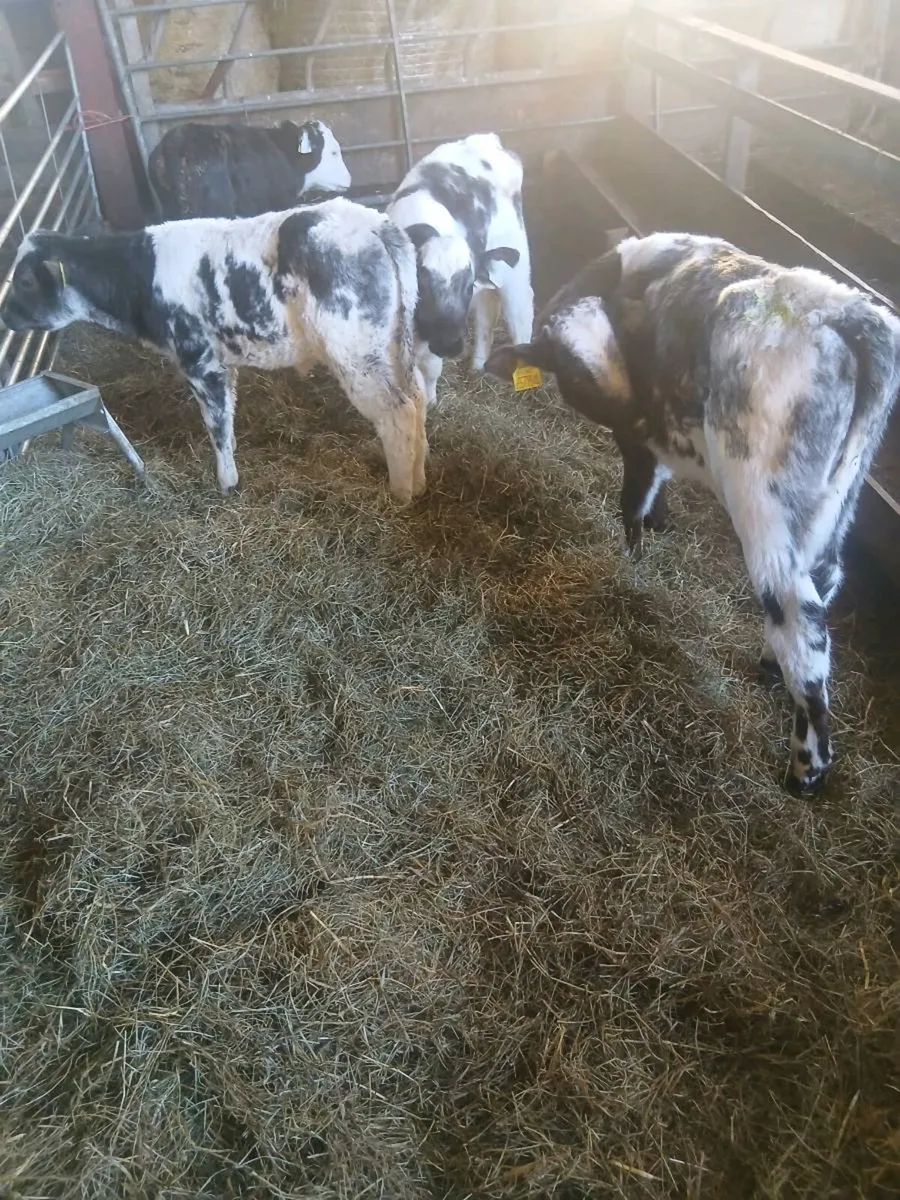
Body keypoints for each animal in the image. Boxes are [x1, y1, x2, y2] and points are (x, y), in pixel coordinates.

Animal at [0, 199, 428, 502]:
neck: (140, 276)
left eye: (25, 281)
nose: (6, 316)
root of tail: (375, 224)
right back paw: (420, 478)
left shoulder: (199, 362)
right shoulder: (223, 363)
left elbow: (216, 424)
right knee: (419, 397)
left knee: (398, 411)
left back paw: (402, 491)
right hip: (392, 344)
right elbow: (229, 418)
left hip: (355, 354)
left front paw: (226, 483)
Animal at [386, 132, 534, 406]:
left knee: (520, 308)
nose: (450, 345)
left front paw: (431, 400)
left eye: (467, 287)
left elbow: (431, 367)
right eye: (422, 284)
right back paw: (478, 366)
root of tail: (486, 139)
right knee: (487, 311)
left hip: (515, 257)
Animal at [484, 232, 900, 797]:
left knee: (797, 612)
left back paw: (804, 770)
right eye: (574, 369)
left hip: (762, 498)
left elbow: (634, 492)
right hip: (837, 493)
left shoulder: (637, 436)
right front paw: (659, 523)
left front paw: (632, 555)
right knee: (824, 577)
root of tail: (842, 312)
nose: (643, 416)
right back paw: (771, 667)